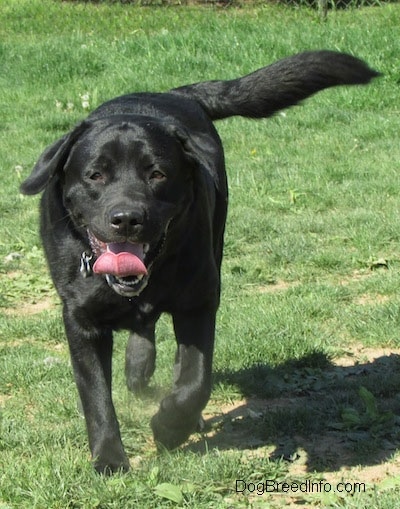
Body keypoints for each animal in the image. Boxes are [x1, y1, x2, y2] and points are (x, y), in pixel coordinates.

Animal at [21, 51, 378, 472]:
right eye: (95, 174)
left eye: (157, 174)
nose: (126, 218)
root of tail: (178, 93)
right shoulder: (81, 319)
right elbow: (95, 397)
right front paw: (109, 458)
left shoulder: (199, 300)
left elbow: (195, 381)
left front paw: (170, 427)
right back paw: (138, 369)